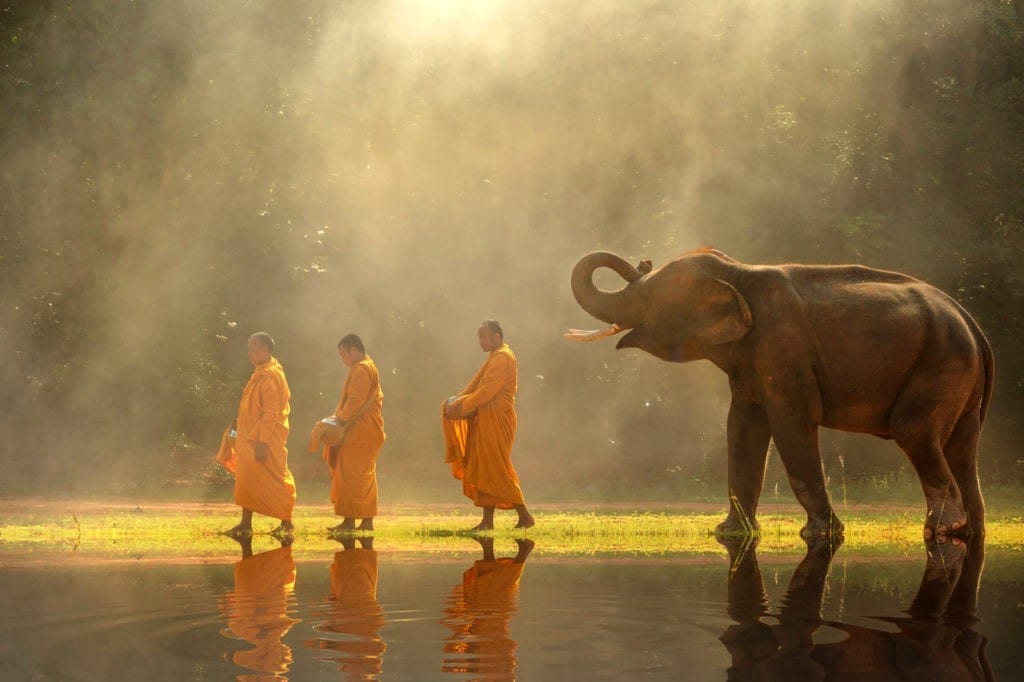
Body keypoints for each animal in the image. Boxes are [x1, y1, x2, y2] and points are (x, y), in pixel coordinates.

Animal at [569, 248, 991, 536]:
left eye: (645, 298)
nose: (643, 260)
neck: (737, 272)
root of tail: (970, 320)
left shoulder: (783, 351)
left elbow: (792, 424)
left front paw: (820, 534)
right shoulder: (750, 362)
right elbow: (742, 429)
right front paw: (731, 532)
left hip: (941, 362)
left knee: (914, 431)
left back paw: (943, 529)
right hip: (961, 376)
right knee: (962, 448)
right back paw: (969, 530)